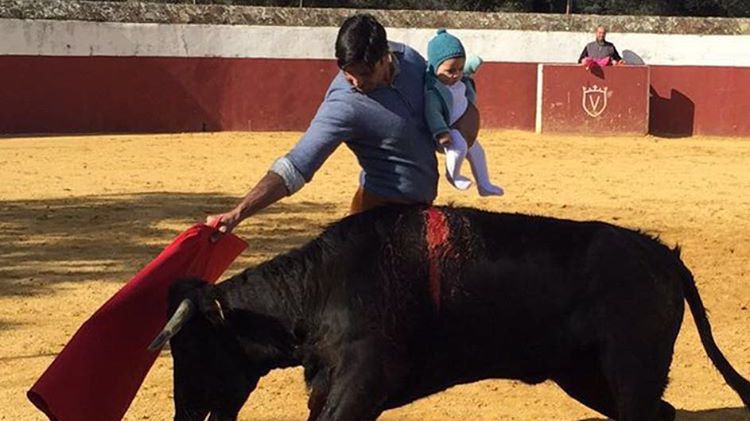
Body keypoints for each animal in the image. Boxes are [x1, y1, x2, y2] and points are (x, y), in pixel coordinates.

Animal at [150, 205, 748, 418]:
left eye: (192, 347)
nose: (184, 413)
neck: (321, 289)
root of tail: (662, 255)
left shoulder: (362, 382)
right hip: (585, 374)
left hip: (631, 368)